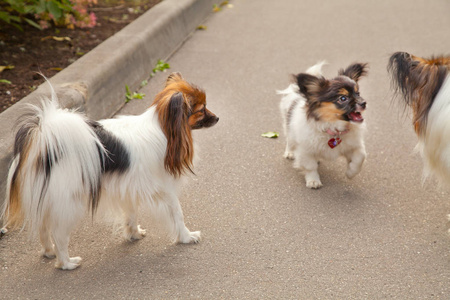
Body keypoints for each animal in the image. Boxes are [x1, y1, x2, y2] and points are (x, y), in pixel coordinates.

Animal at [1, 72, 220, 270]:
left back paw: (49, 252)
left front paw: (133, 234)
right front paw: (187, 236)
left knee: (43, 226)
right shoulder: (166, 189)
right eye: (201, 110)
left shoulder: (129, 186)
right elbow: (177, 214)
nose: (217, 118)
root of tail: (43, 143)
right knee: (58, 233)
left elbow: (131, 214)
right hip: (69, 202)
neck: (163, 128)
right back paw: (66, 263)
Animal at [278, 60, 370, 190]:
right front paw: (313, 181)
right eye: (343, 98)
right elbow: (310, 166)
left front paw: (351, 172)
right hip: (289, 126)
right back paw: (290, 153)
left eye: (358, 93)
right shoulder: (305, 150)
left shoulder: (352, 145)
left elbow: (360, 157)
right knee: (290, 140)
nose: (363, 103)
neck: (334, 128)